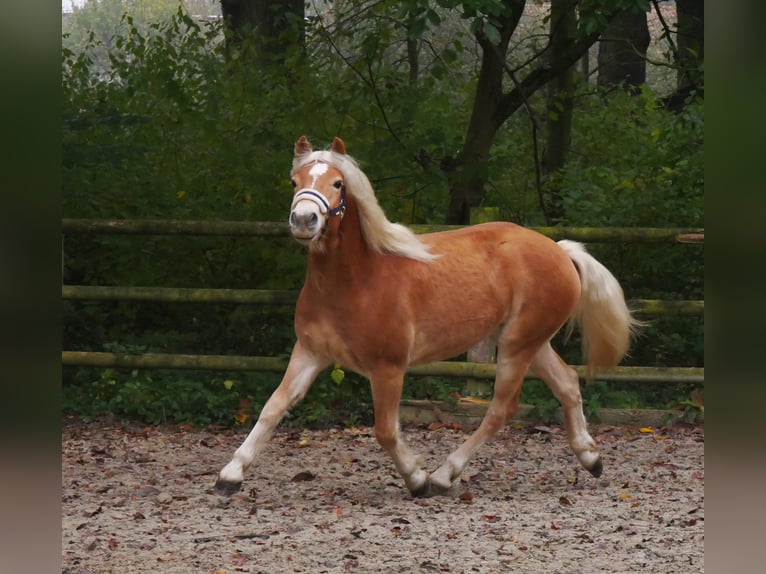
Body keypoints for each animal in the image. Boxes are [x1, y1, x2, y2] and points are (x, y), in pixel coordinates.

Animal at [213, 136, 640, 500]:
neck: (355, 282)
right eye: (294, 180)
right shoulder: (310, 353)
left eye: (337, 183)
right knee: (567, 383)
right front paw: (230, 475)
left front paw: (417, 479)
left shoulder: (388, 368)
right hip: (528, 341)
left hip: (518, 345)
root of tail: (560, 250)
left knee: (502, 408)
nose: (304, 221)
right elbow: (273, 407)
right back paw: (591, 458)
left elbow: (386, 431)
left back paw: (444, 476)